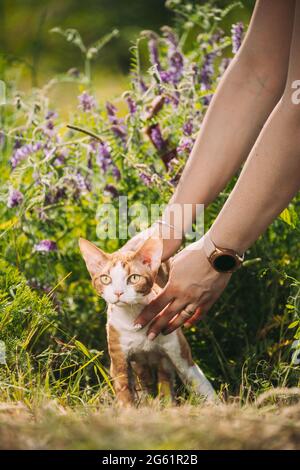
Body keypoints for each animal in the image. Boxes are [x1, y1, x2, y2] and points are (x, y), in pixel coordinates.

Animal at [79, 237, 216, 406]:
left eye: (134, 278)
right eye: (105, 279)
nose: (118, 292)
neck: (133, 318)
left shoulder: (180, 354)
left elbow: (199, 383)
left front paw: (219, 406)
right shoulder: (119, 362)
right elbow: (125, 393)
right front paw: (129, 408)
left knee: (165, 380)